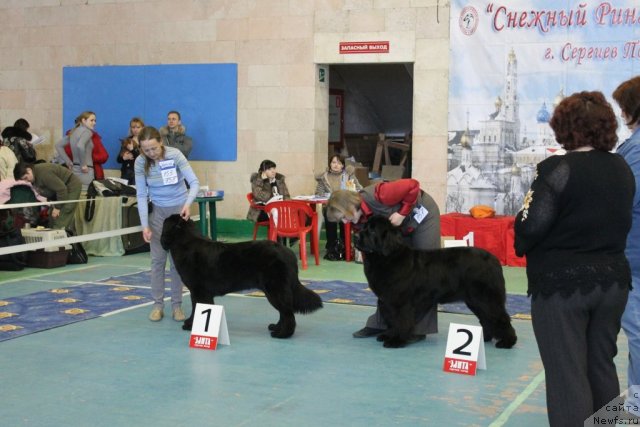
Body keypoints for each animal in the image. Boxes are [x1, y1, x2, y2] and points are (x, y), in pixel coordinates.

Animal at [158, 216, 322, 340]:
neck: (185, 244)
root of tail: (288, 253)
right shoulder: (201, 292)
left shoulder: (198, 290)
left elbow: (196, 308)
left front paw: (191, 325)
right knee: (284, 312)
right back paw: (275, 328)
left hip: (275, 289)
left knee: (287, 313)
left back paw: (282, 334)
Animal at [358, 216, 516, 350]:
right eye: (364, 226)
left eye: (372, 230)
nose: (356, 236)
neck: (387, 257)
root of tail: (494, 260)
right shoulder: (387, 302)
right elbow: (391, 321)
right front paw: (388, 335)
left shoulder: (401, 302)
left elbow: (401, 321)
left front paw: (397, 341)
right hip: (475, 301)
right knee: (486, 319)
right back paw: (484, 338)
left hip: (486, 299)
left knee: (501, 317)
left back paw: (507, 342)